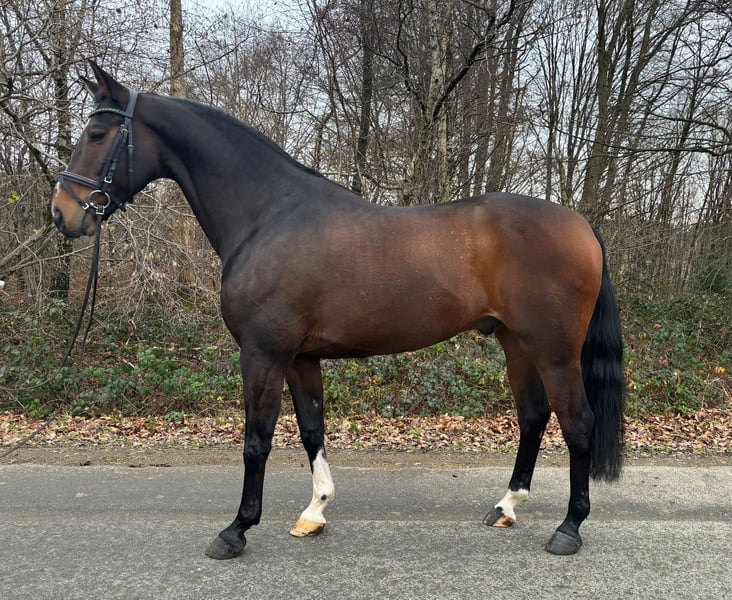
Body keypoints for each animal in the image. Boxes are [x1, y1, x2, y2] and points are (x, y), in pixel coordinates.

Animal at [51, 62, 625, 560]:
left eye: (97, 133)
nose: (62, 213)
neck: (268, 216)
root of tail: (581, 224)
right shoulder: (300, 358)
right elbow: (311, 430)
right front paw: (314, 512)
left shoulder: (263, 354)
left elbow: (257, 440)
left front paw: (236, 530)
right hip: (515, 344)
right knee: (533, 417)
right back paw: (506, 506)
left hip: (555, 351)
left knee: (577, 423)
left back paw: (569, 528)